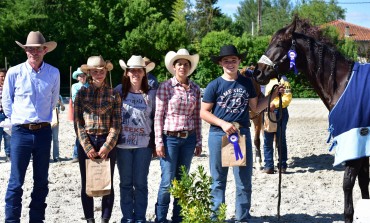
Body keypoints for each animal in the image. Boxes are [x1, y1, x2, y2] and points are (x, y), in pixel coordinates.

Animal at [254, 16, 370, 222]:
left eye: (279, 43)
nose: (257, 72)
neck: (343, 84)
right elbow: (363, 184)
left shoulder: (355, 141)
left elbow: (348, 184)